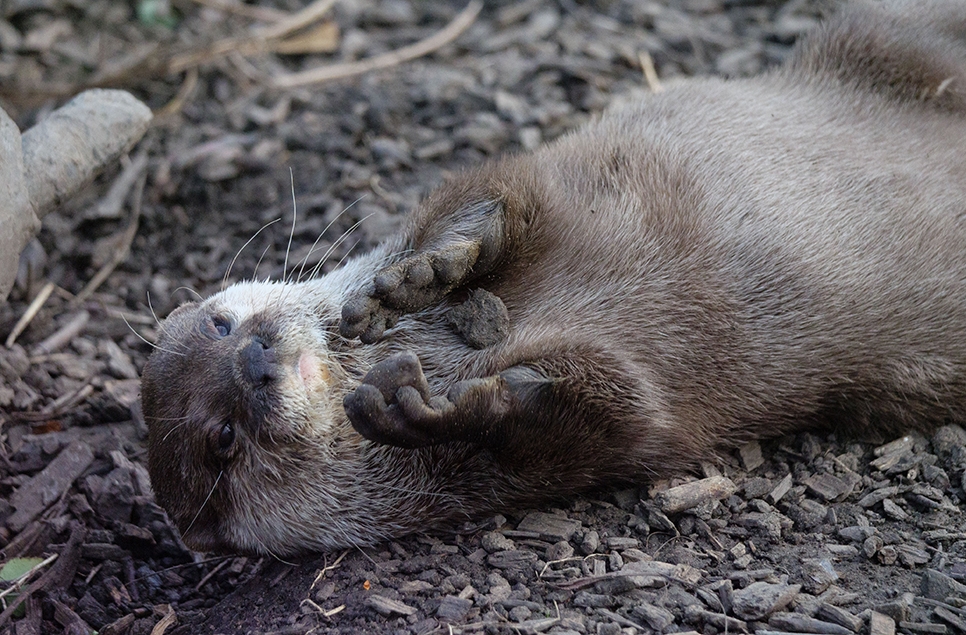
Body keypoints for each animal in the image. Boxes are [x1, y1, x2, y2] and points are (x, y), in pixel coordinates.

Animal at [140, 0, 966, 556]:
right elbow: (617, 412)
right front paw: (433, 410)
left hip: (870, 41)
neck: (440, 346)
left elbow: (498, 198)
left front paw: (428, 270)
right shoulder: (595, 444)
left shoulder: (539, 184)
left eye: (220, 322)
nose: (255, 357)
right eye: (222, 439)